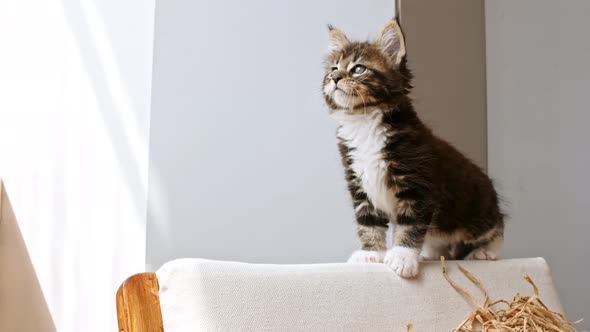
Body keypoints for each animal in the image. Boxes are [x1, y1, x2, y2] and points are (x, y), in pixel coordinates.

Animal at [326, 18, 506, 278]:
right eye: (333, 68)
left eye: (358, 69)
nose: (334, 79)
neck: (363, 122)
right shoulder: (359, 184)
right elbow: (368, 223)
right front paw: (370, 253)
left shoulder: (417, 184)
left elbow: (410, 224)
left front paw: (402, 256)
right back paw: (429, 253)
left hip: (474, 208)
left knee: (496, 225)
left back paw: (485, 251)